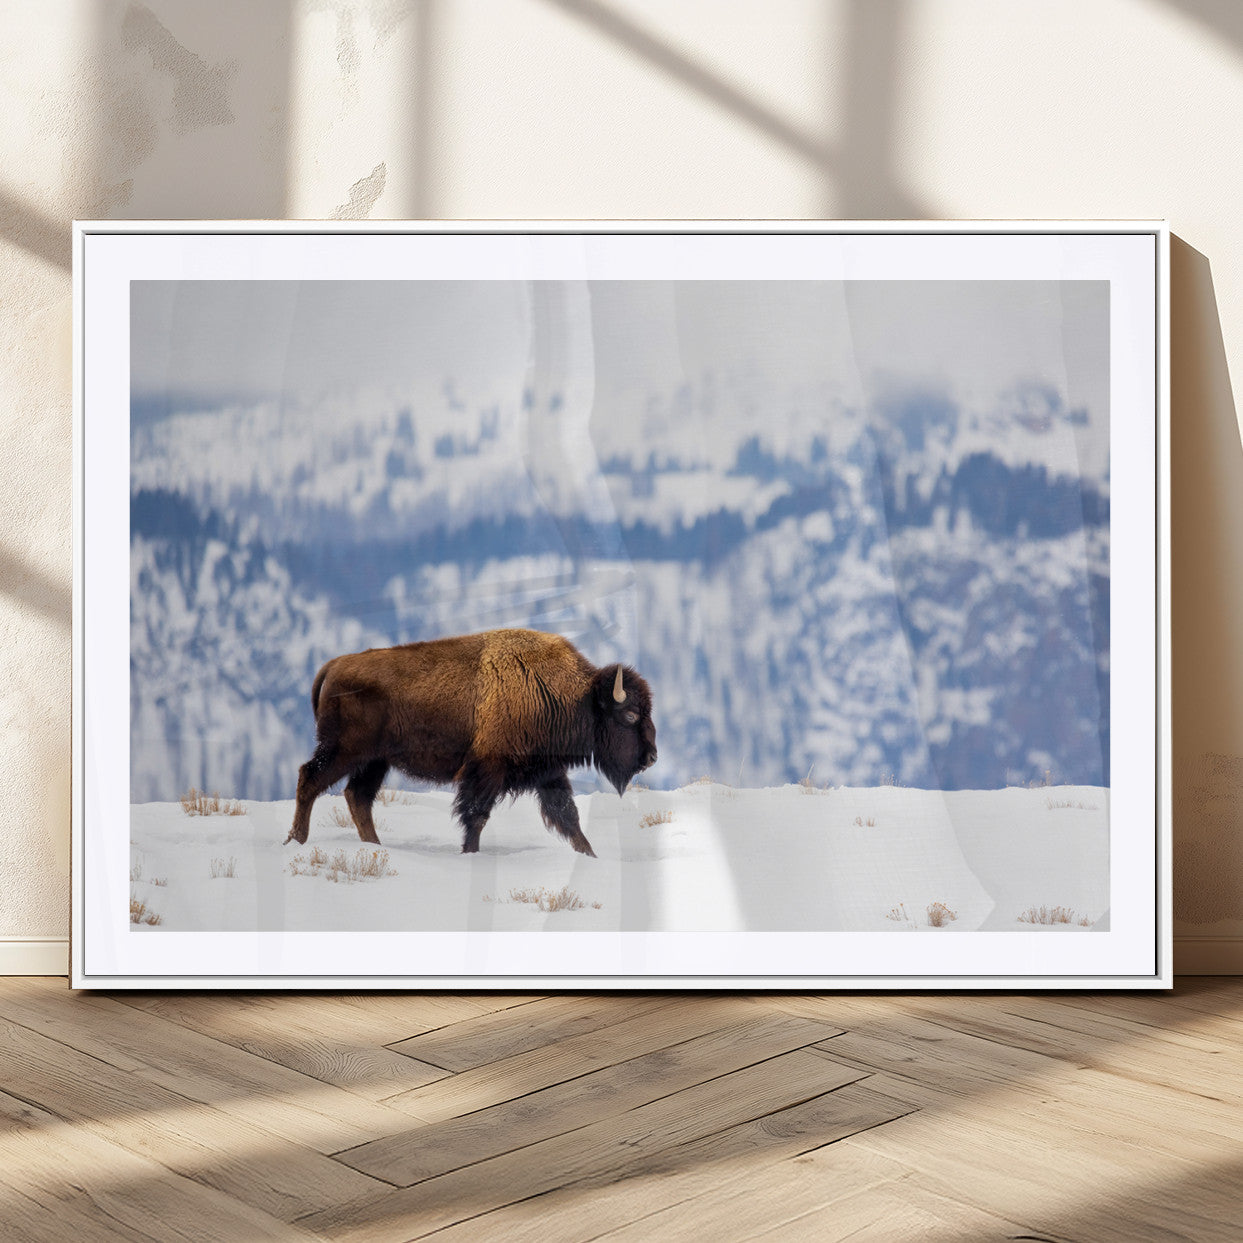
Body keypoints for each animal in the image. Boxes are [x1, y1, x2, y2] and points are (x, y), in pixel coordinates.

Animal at [285, 628, 657, 856]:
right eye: (630, 715)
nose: (651, 757)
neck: (572, 695)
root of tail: (335, 664)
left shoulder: (548, 772)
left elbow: (569, 817)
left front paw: (591, 855)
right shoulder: (486, 771)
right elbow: (476, 815)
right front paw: (469, 852)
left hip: (375, 761)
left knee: (357, 796)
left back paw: (375, 847)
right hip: (344, 751)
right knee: (310, 779)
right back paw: (296, 840)